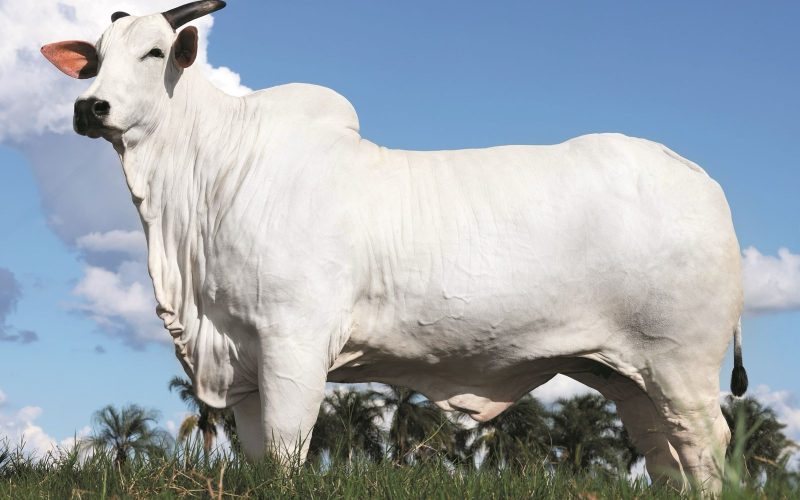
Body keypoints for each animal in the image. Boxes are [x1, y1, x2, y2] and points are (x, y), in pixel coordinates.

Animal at [42, 1, 748, 492]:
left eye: (154, 52)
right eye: (95, 57)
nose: (89, 107)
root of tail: (698, 177)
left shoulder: (294, 344)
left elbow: (288, 451)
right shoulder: (240, 359)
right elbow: (260, 457)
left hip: (682, 362)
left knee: (706, 442)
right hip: (628, 374)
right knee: (662, 450)